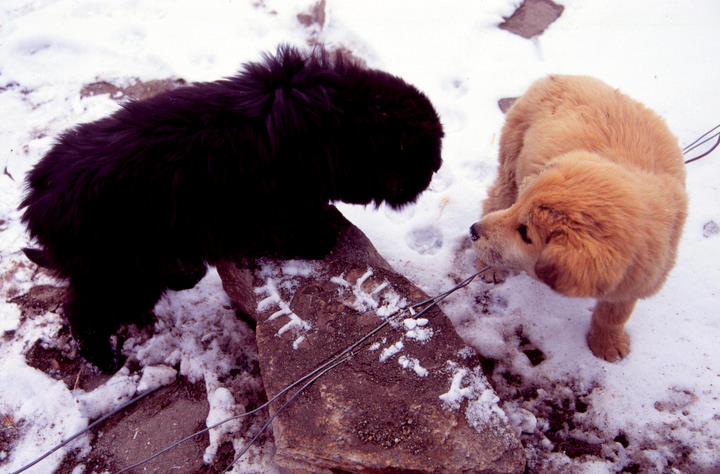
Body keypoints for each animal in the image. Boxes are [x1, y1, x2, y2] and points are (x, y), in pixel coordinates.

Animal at [19, 45, 442, 370]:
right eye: (421, 153)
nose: (438, 166)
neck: (334, 125)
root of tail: (38, 194)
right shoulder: (277, 206)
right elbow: (297, 226)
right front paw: (320, 238)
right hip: (120, 271)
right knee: (82, 313)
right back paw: (103, 359)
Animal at [470, 75, 688, 362]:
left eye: (525, 233)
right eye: (521, 211)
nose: (473, 231)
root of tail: (556, 76)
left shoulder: (640, 274)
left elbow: (614, 313)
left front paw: (607, 343)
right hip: (511, 161)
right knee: (494, 201)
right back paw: (489, 266)